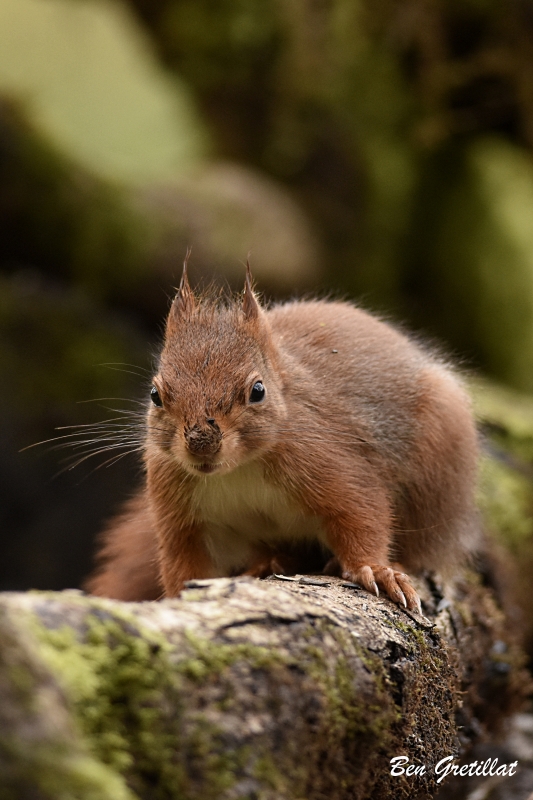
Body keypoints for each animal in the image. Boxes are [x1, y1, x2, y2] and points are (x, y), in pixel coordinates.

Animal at [86, 262, 478, 612]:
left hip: (435, 472)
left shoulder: (331, 463)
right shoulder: (179, 508)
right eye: (155, 394)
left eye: (257, 390)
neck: (239, 469)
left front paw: (375, 570)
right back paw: (273, 562)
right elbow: (185, 563)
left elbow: (362, 515)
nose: (201, 443)